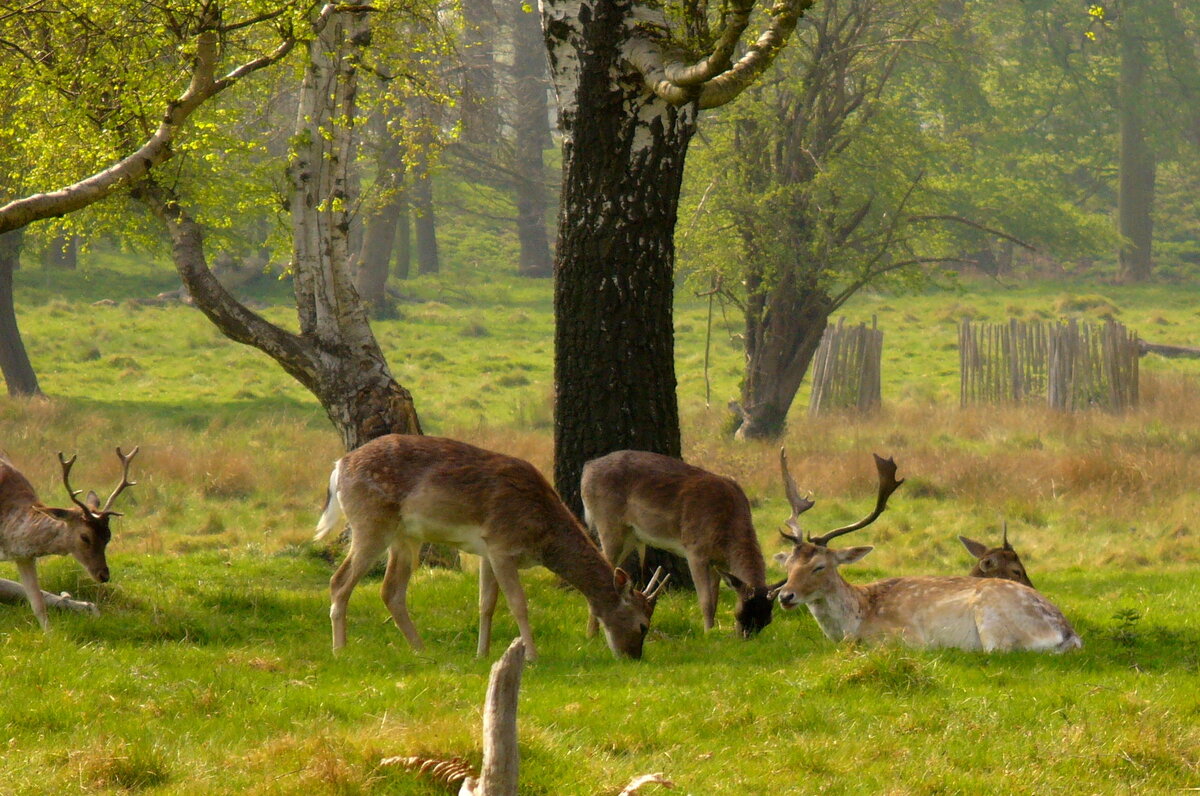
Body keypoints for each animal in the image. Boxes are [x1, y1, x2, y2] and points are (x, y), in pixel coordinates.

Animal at [0, 449, 137, 629]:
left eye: (108, 536)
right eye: (85, 537)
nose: (104, 575)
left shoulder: (24, 556)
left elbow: (37, 603)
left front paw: (49, 633)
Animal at [309, 437, 672, 657]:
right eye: (643, 624)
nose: (633, 656)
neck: (542, 533)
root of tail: (338, 467)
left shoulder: (485, 551)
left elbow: (486, 604)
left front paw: (481, 653)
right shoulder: (501, 544)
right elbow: (518, 604)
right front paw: (532, 655)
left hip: (405, 537)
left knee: (390, 591)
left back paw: (422, 649)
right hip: (370, 523)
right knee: (339, 582)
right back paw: (340, 650)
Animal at [583, 451, 777, 638]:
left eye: (768, 620)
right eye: (740, 614)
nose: (745, 639)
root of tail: (586, 470)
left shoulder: (717, 562)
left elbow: (715, 599)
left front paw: (713, 630)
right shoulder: (695, 550)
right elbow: (706, 600)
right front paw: (708, 634)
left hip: (631, 536)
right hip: (608, 522)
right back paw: (592, 634)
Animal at [772, 453, 1084, 653]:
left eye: (820, 566)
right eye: (788, 565)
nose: (785, 596)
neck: (857, 618)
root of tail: (1069, 634)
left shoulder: (906, 636)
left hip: (994, 621)